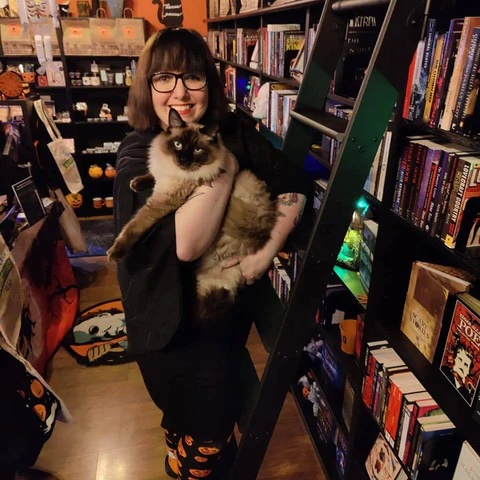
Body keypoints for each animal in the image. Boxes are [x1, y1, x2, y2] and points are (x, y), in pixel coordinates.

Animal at [106, 110, 278, 320]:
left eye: (197, 150)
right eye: (178, 145)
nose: (183, 160)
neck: (174, 171)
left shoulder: (162, 201)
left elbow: (133, 227)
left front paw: (115, 252)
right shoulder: (163, 181)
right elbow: (151, 175)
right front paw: (137, 183)